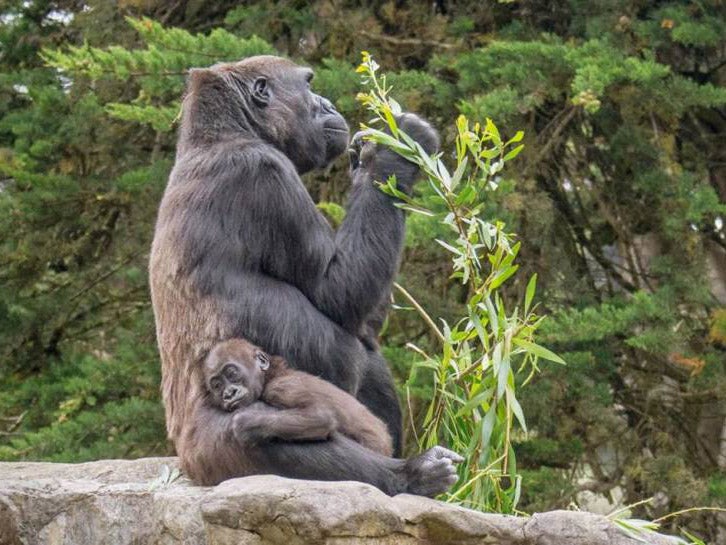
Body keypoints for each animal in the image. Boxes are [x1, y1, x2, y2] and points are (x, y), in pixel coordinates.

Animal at [202, 338, 396, 456]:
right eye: (217, 386)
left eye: (232, 373)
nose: (228, 394)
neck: (273, 375)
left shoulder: (282, 387)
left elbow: (320, 416)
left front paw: (247, 424)